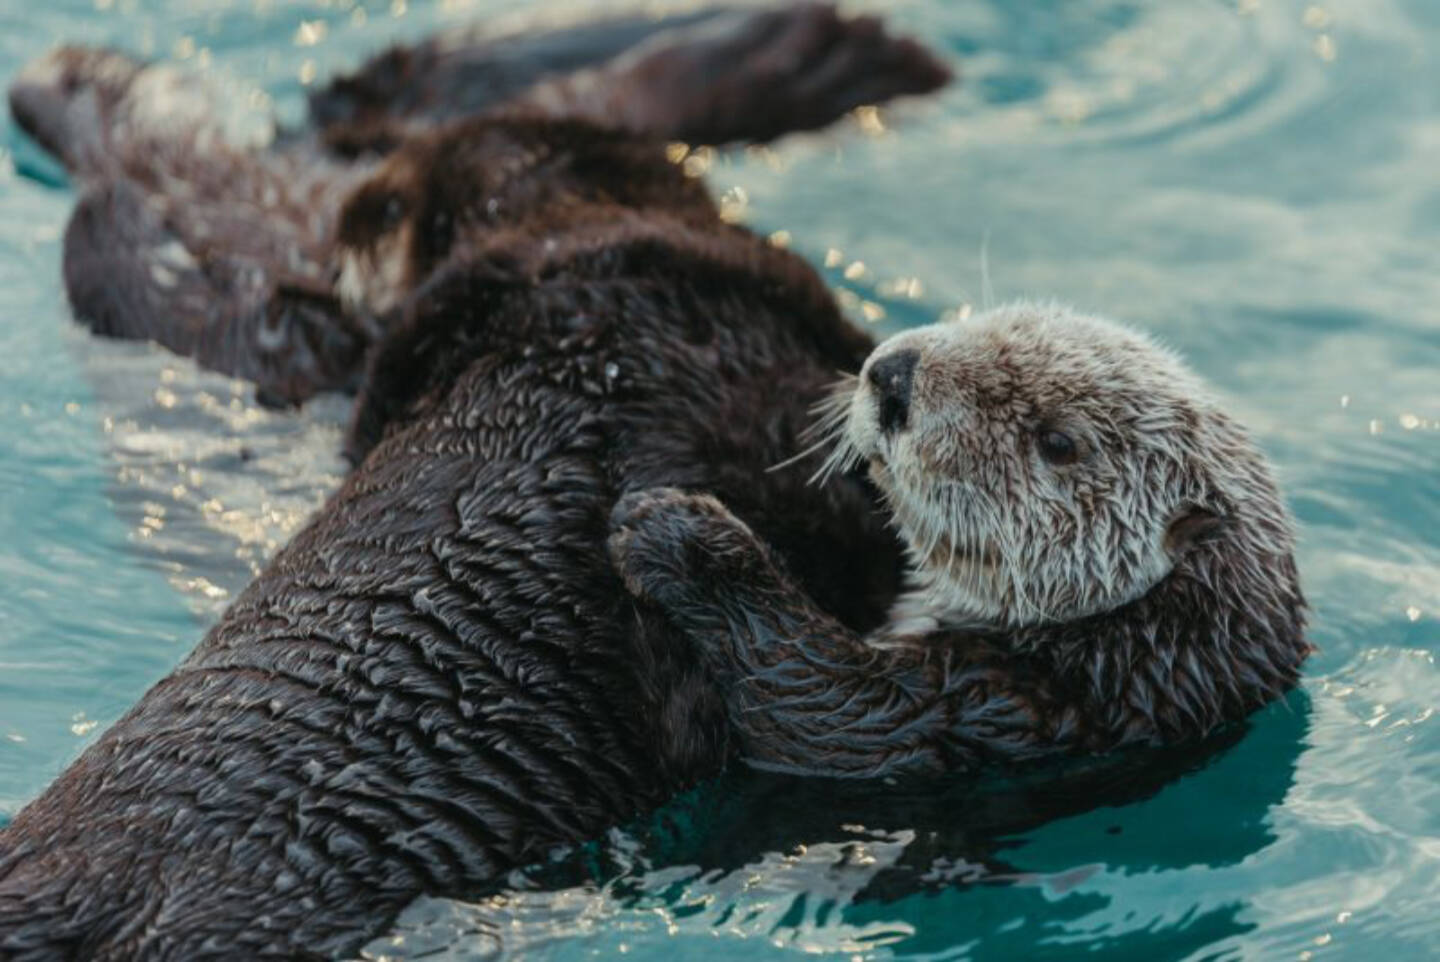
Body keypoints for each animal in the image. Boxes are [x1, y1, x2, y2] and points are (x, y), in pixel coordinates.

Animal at [601, 303, 1313, 777]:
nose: (893, 377)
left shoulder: (995, 705)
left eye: (1057, 441)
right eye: (993, 320)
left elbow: (819, 706)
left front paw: (678, 535)